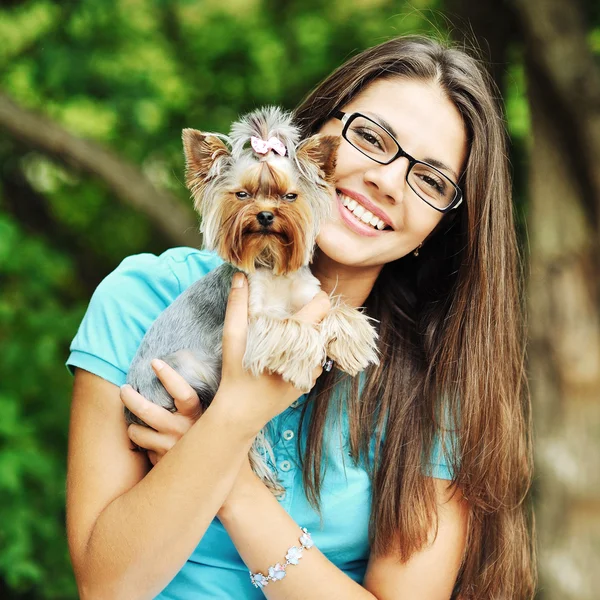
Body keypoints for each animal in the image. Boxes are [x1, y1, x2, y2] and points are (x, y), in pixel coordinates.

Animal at [125, 108, 380, 492]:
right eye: (242, 194)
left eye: (290, 196)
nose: (265, 215)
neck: (272, 264)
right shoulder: (248, 324)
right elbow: (287, 326)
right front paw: (305, 358)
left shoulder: (310, 295)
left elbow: (335, 308)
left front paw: (353, 337)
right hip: (187, 368)